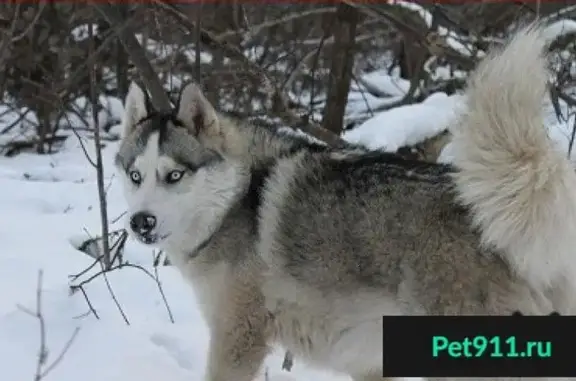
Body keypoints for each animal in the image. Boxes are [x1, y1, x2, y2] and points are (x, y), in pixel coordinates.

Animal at [116, 26, 576, 380]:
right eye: (135, 176)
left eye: (174, 176)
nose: (140, 222)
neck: (237, 199)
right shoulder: (371, 363)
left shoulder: (238, 338)